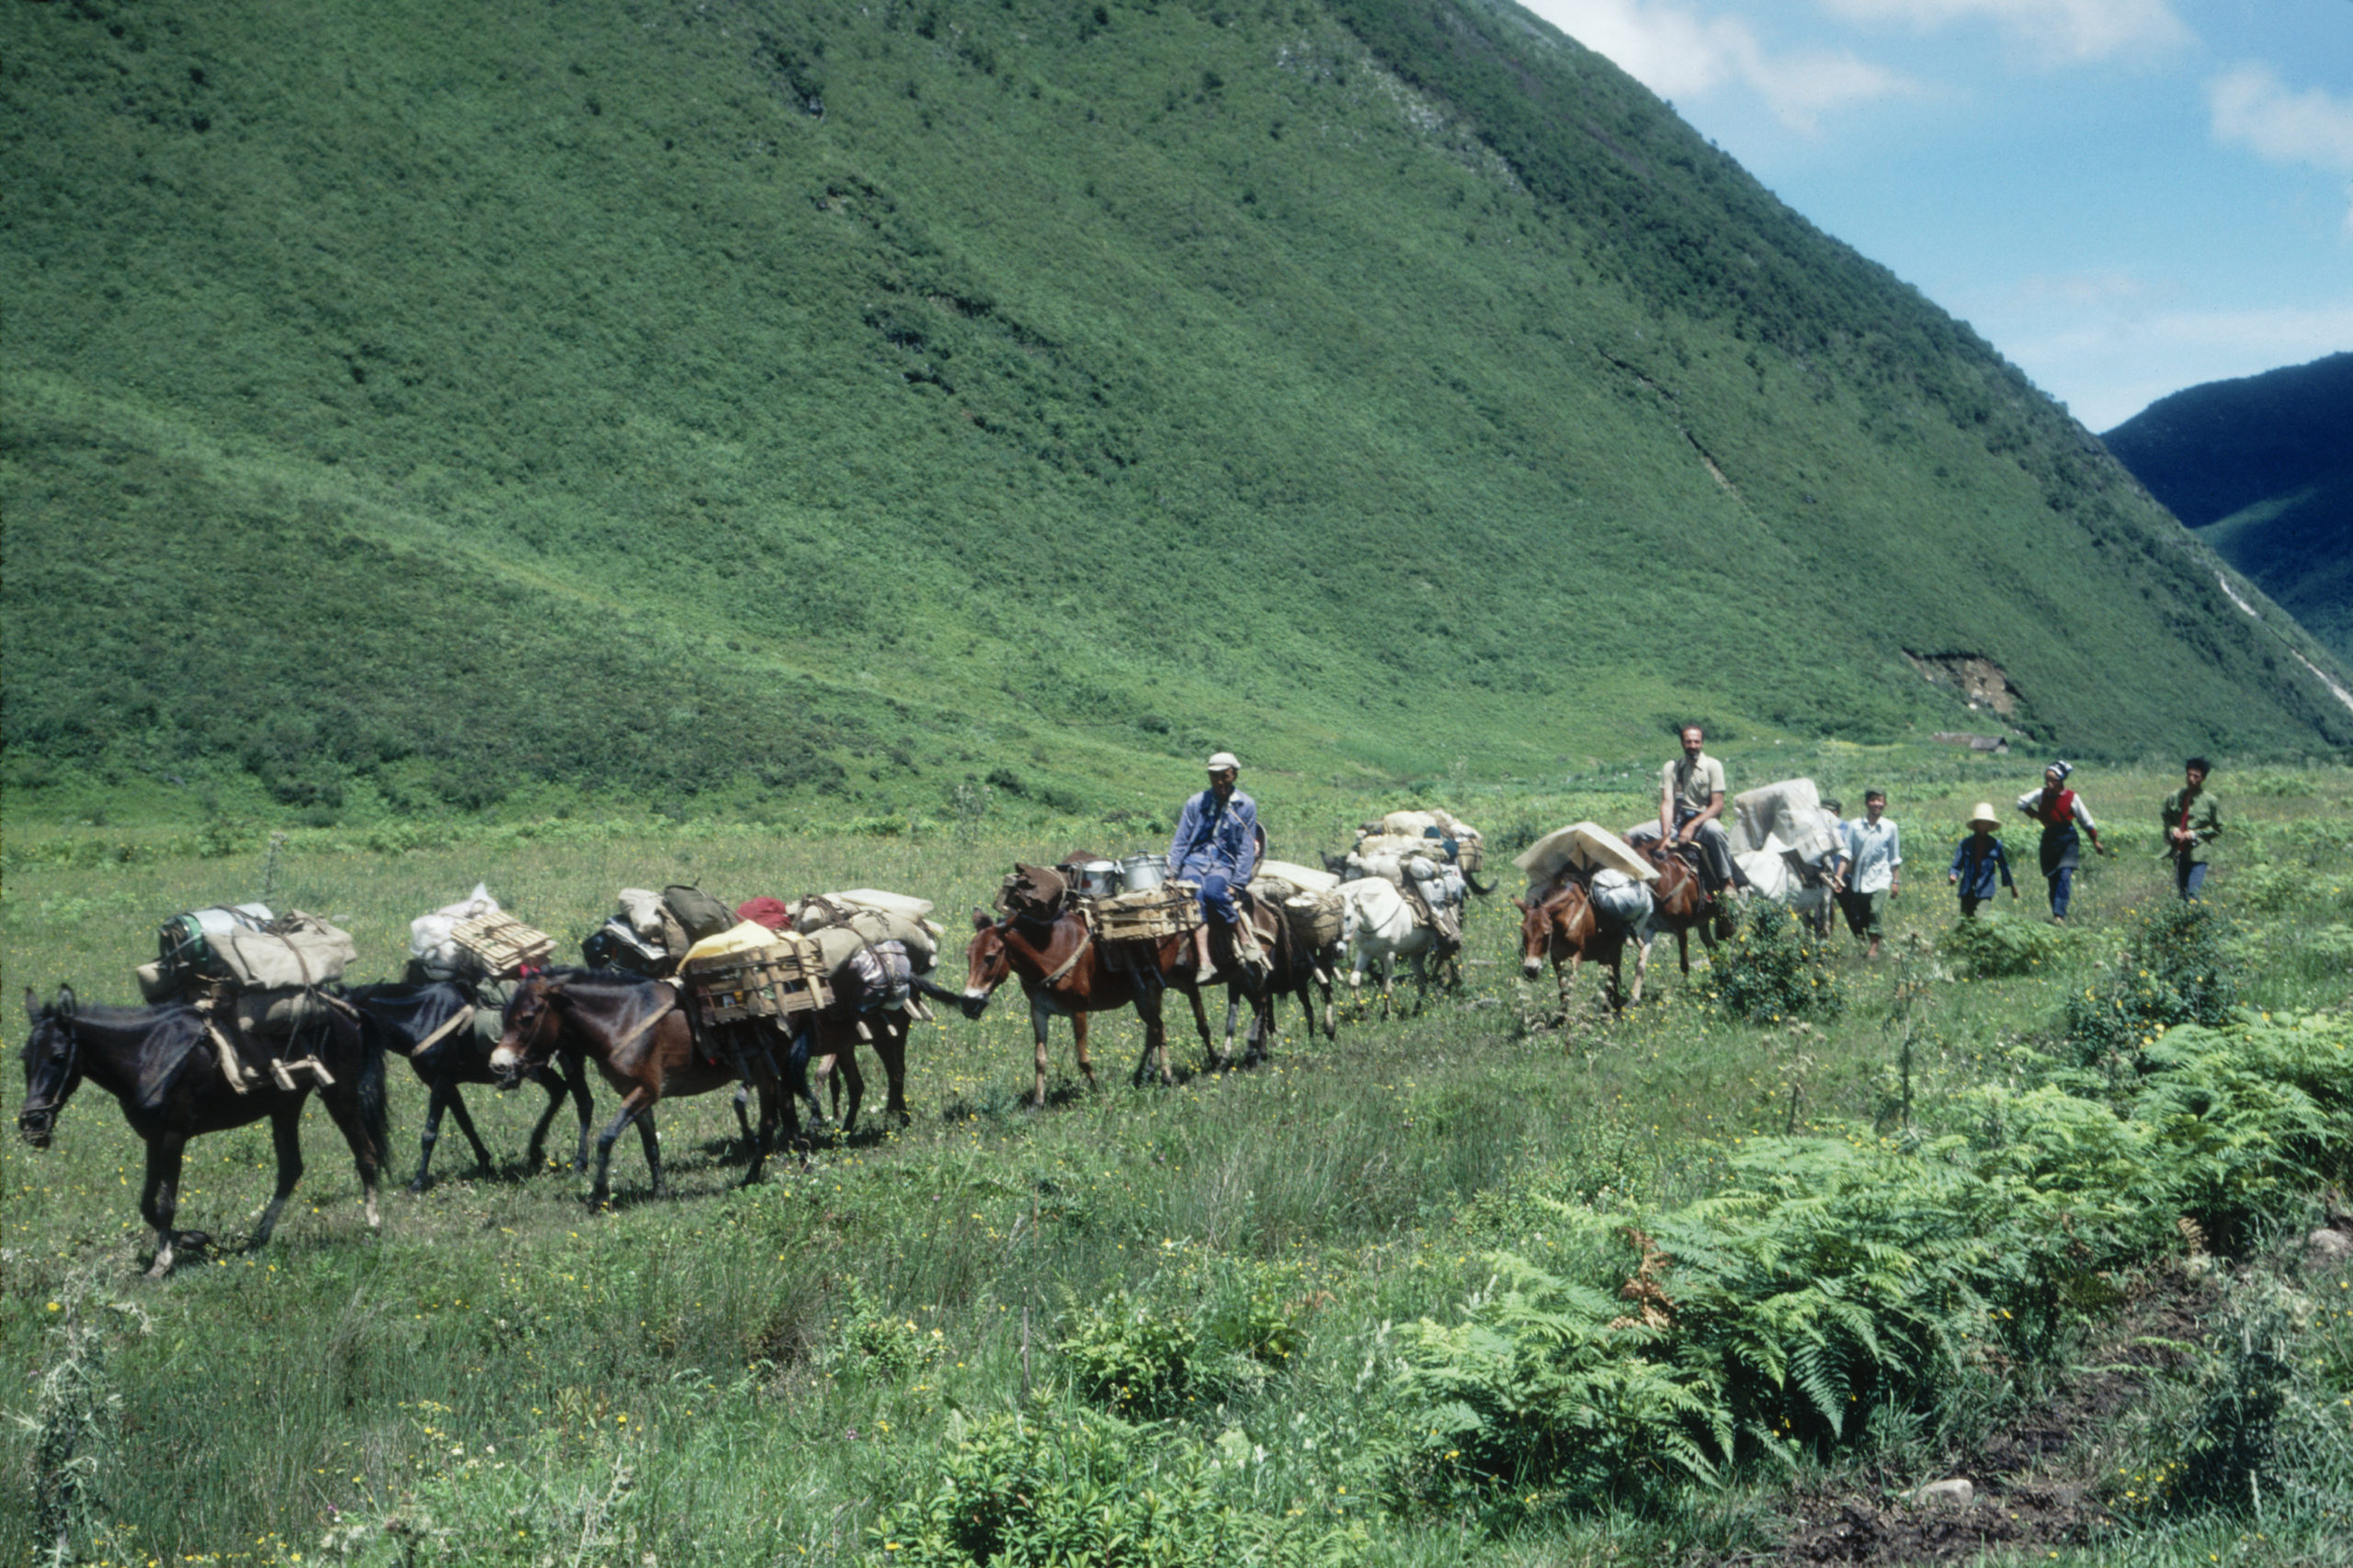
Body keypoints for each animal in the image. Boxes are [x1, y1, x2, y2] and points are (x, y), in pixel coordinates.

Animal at [486, 965, 790, 1205]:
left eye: (527, 1017)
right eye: (503, 1015)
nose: (498, 1065)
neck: (623, 1019)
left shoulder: (646, 1091)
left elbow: (606, 1138)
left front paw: (599, 1196)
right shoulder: (636, 1095)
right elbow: (650, 1145)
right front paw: (660, 1191)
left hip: (767, 1072)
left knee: (769, 1122)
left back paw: (752, 1176)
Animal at [1336, 866, 1439, 1012]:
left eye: (1348, 917)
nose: (1339, 949)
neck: (1377, 919)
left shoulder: (1389, 956)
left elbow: (1387, 989)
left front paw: (1387, 1013)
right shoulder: (1365, 953)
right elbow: (1354, 981)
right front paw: (1361, 1009)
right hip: (1417, 954)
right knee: (1422, 981)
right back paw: (1415, 1010)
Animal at [1515, 870, 1647, 1021]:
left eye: (1546, 932)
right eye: (1523, 931)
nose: (1530, 969)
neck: (1567, 917)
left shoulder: (1576, 957)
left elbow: (1569, 988)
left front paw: (1566, 1022)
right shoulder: (1556, 958)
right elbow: (1562, 989)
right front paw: (1561, 1018)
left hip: (1614, 951)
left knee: (1612, 977)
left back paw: (1614, 1010)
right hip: (1602, 954)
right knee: (1608, 978)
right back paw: (1606, 1009)